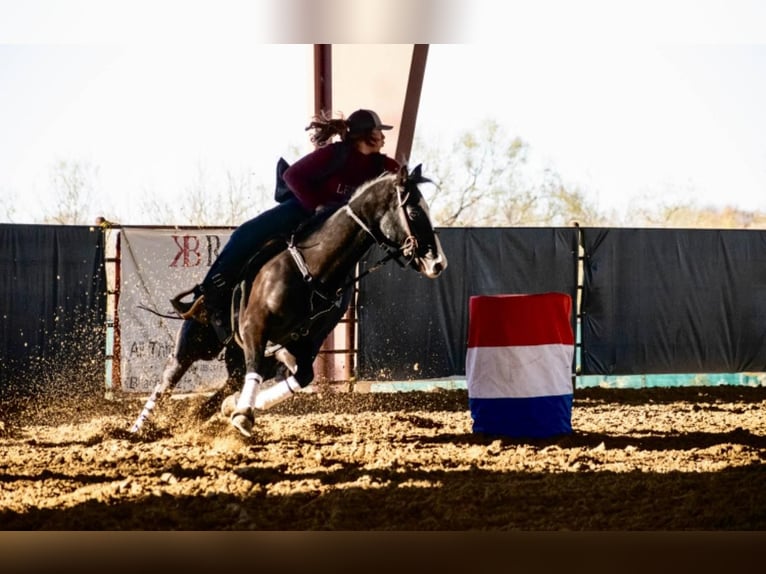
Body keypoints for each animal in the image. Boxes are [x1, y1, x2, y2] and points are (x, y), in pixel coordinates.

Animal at [128, 164, 448, 438]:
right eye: (414, 211)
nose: (438, 263)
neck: (311, 270)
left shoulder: (300, 347)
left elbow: (301, 377)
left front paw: (241, 409)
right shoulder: (255, 329)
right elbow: (257, 369)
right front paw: (243, 415)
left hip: (235, 357)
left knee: (227, 384)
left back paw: (211, 410)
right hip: (197, 342)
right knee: (168, 379)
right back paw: (137, 429)